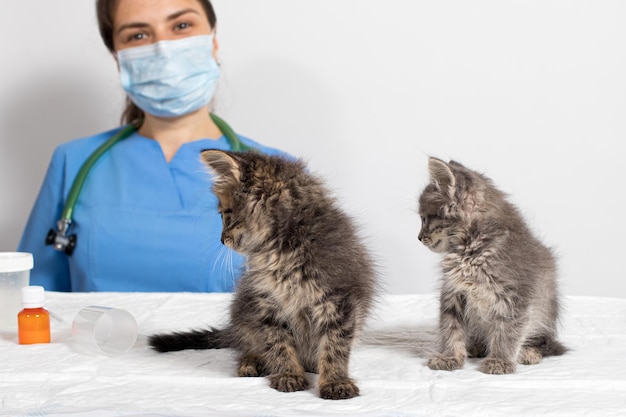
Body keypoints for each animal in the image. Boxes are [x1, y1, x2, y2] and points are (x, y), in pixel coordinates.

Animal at [149, 150, 378, 400]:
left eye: (225, 215)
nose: (222, 239)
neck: (282, 250)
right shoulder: (266, 303)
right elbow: (278, 343)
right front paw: (288, 374)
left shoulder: (339, 299)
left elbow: (334, 346)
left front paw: (335, 381)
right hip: (243, 315)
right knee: (248, 344)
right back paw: (253, 362)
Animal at [416, 158, 564, 376]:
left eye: (425, 218)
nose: (419, 237)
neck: (471, 250)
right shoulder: (453, 292)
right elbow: (451, 328)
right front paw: (450, 356)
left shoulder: (516, 296)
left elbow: (508, 331)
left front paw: (500, 361)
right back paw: (474, 346)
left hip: (545, 311)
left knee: (545, 343)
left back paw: (528, 352)